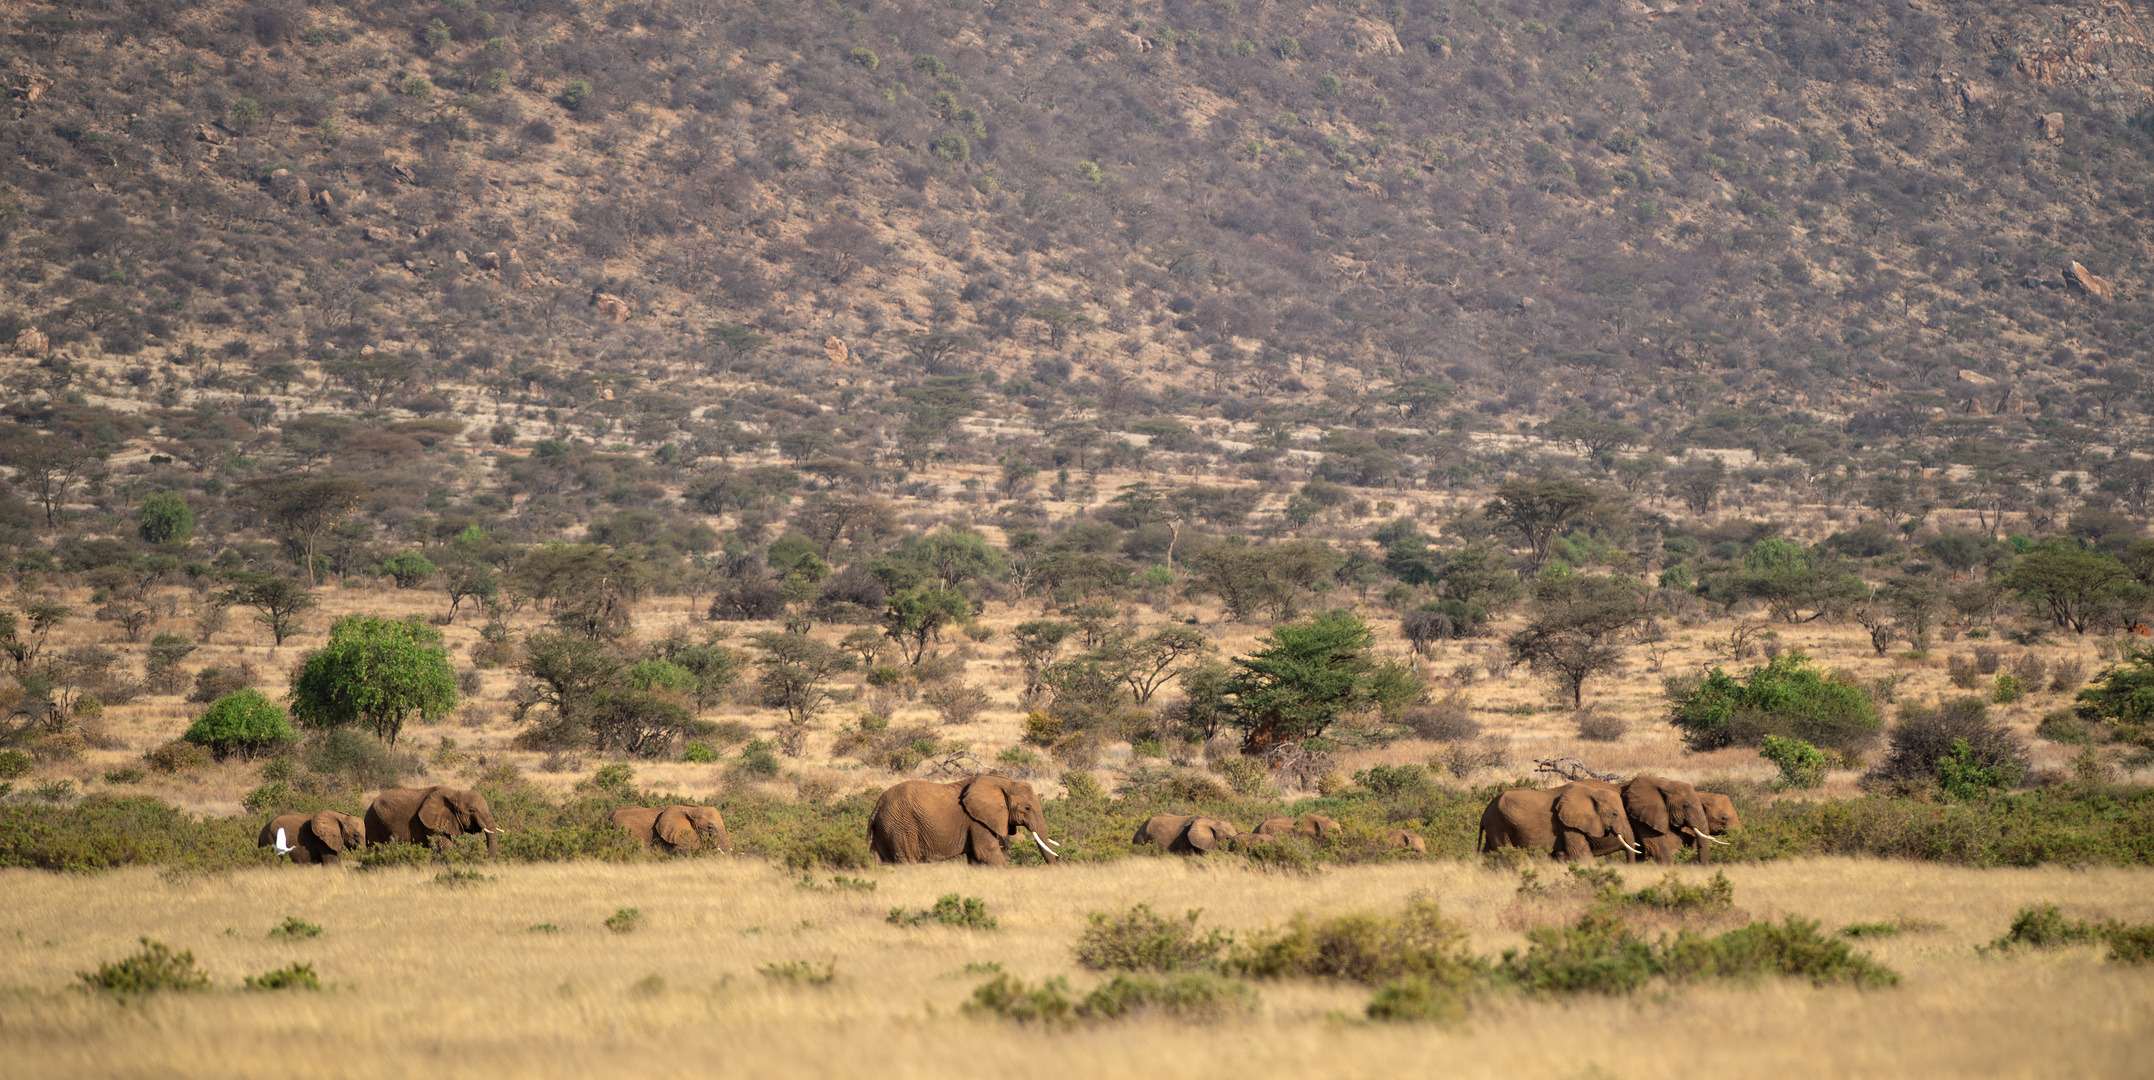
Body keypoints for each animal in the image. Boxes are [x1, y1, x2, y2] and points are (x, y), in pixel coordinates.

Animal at [861, 776, 1055, 866]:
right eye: (1027, 809)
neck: (1003, 782)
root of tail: (877, 807)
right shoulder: (976, 821)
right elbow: (987, 853)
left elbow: (976, 859)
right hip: (900, 827)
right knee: (907, 861)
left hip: (886, 828)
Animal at [1481, 780, 1645, 862]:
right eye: (1614, 814)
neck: (1591, 792)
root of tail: (1485, 811)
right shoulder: (1566, 824)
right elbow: (1580, 854)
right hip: (1499, 824)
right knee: (1504, 850)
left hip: (1494, 826)